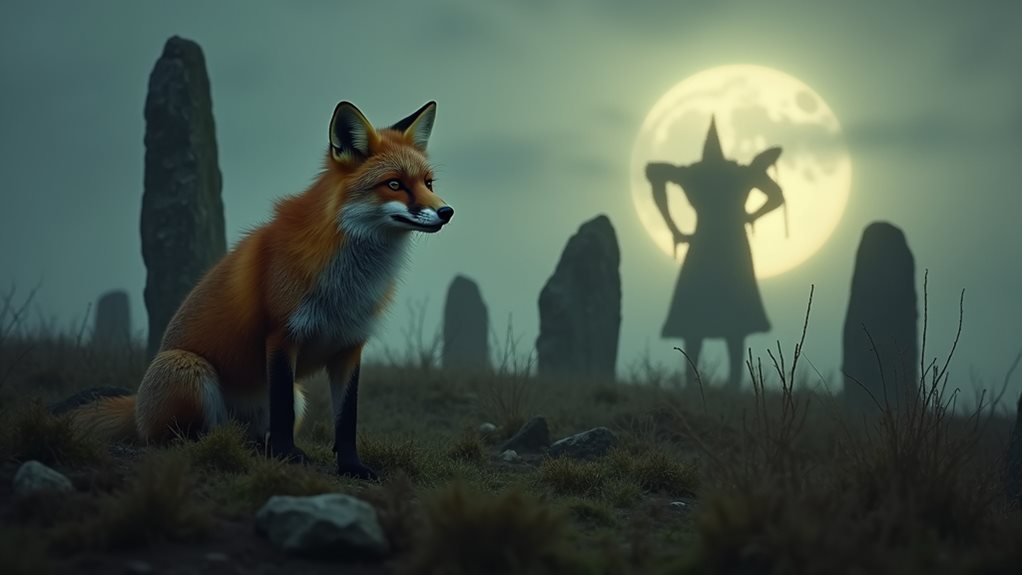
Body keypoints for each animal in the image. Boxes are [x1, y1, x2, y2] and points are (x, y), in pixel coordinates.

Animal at [61, 101, 453, 479]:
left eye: (429, 183)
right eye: (394, 184)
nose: (446, 211)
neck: (348, 283)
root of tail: (136, 406)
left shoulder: (350, 346)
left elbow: (346, 421)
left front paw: (351, 468)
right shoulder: (281, 334)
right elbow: (281, 412)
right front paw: (287, 456)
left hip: (296, 396)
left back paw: (254, 448)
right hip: (188, 369)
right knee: (183, 439)